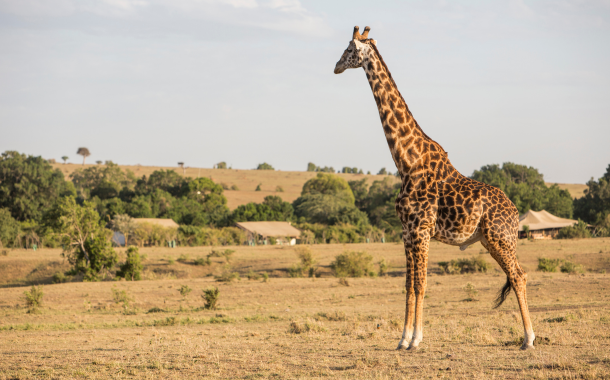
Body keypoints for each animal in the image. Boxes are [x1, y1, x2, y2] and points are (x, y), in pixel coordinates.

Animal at [332, 26, 532, 350]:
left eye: (350, 49)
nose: (336, 66)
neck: (406, 161)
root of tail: (515, 212)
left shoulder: (422, 229)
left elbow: (421, 284)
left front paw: (416, 339)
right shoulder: (406, 231)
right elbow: (408, 285)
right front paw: (403, 339)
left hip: (501, 239)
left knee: (519, 276)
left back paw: (529, 338)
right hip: (491, 241)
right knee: (518, 275)